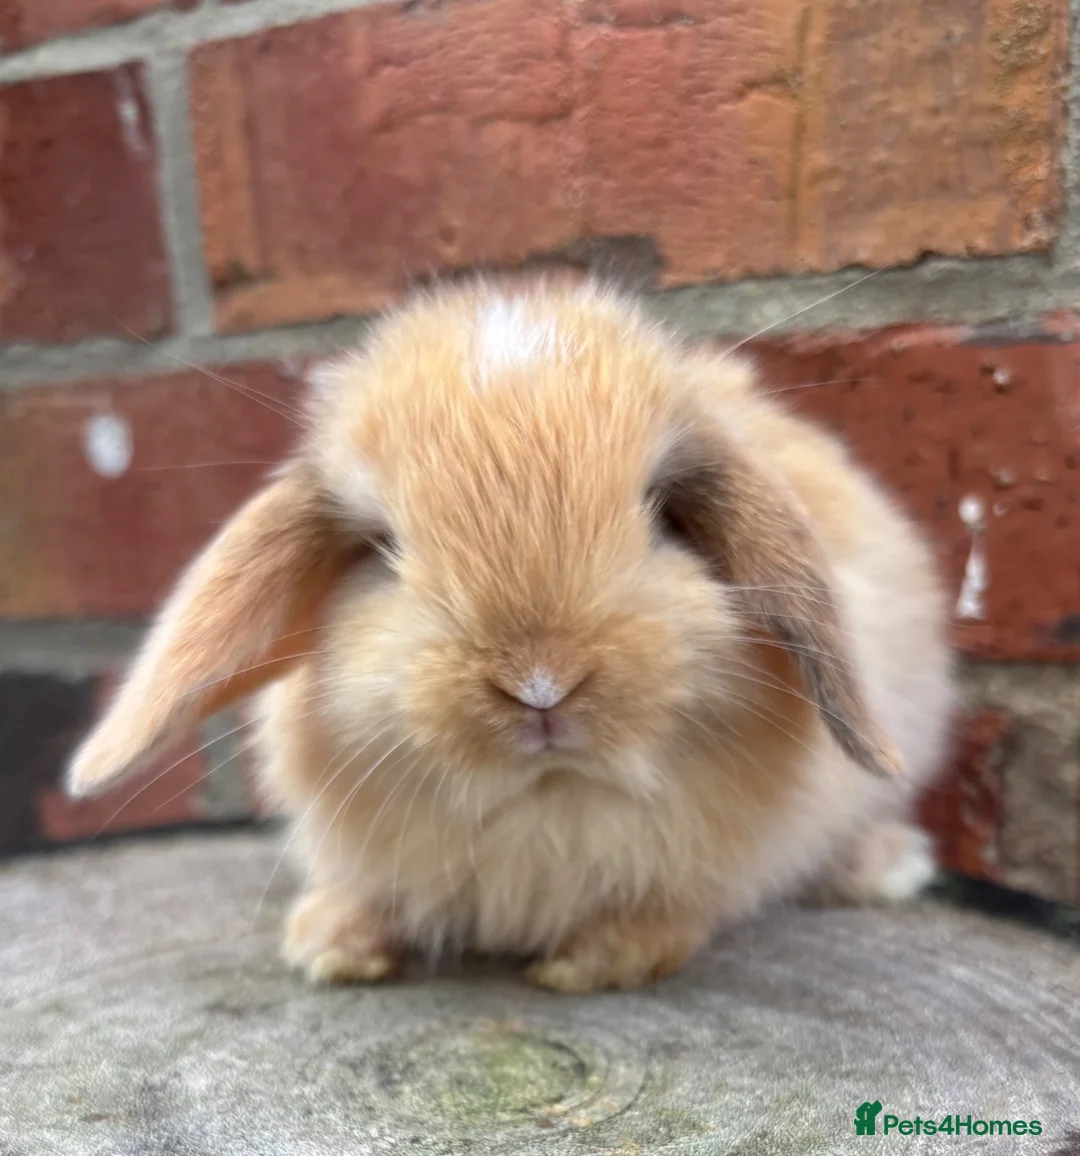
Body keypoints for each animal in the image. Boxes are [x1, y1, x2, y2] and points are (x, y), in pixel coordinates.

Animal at [66, 280, 954, 993]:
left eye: (665, 516)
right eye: (381, 548)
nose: (540, 684)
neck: (544, 800)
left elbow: (671, 914)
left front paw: (592, 963)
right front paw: (329, 946)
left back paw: (886, 866)